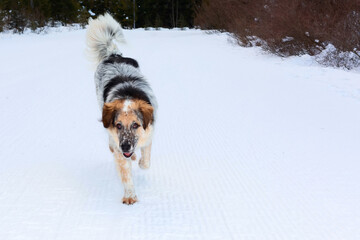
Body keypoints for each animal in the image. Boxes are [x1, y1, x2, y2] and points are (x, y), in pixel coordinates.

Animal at [86, 13, 158, 204]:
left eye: (135, 125)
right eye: (118, 125)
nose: (125, 147)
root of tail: (114, 54)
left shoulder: (149, 134)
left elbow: (146, 161)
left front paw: (140, 161)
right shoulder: (118, 146)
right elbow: (125, 174)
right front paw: (130, 196)